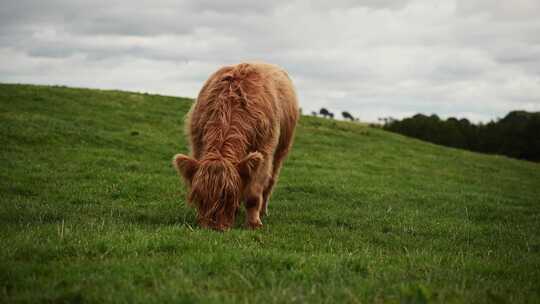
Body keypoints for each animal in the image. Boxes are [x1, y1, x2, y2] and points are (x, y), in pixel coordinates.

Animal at [173, 63, 300, 230]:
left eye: (229, 196)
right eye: (199, 197)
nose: (213, 228)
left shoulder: (264, 152)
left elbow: (253, 194)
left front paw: (253, 223)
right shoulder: (197, 145)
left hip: (281, 150)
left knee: (271, 181)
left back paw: (263, 211)